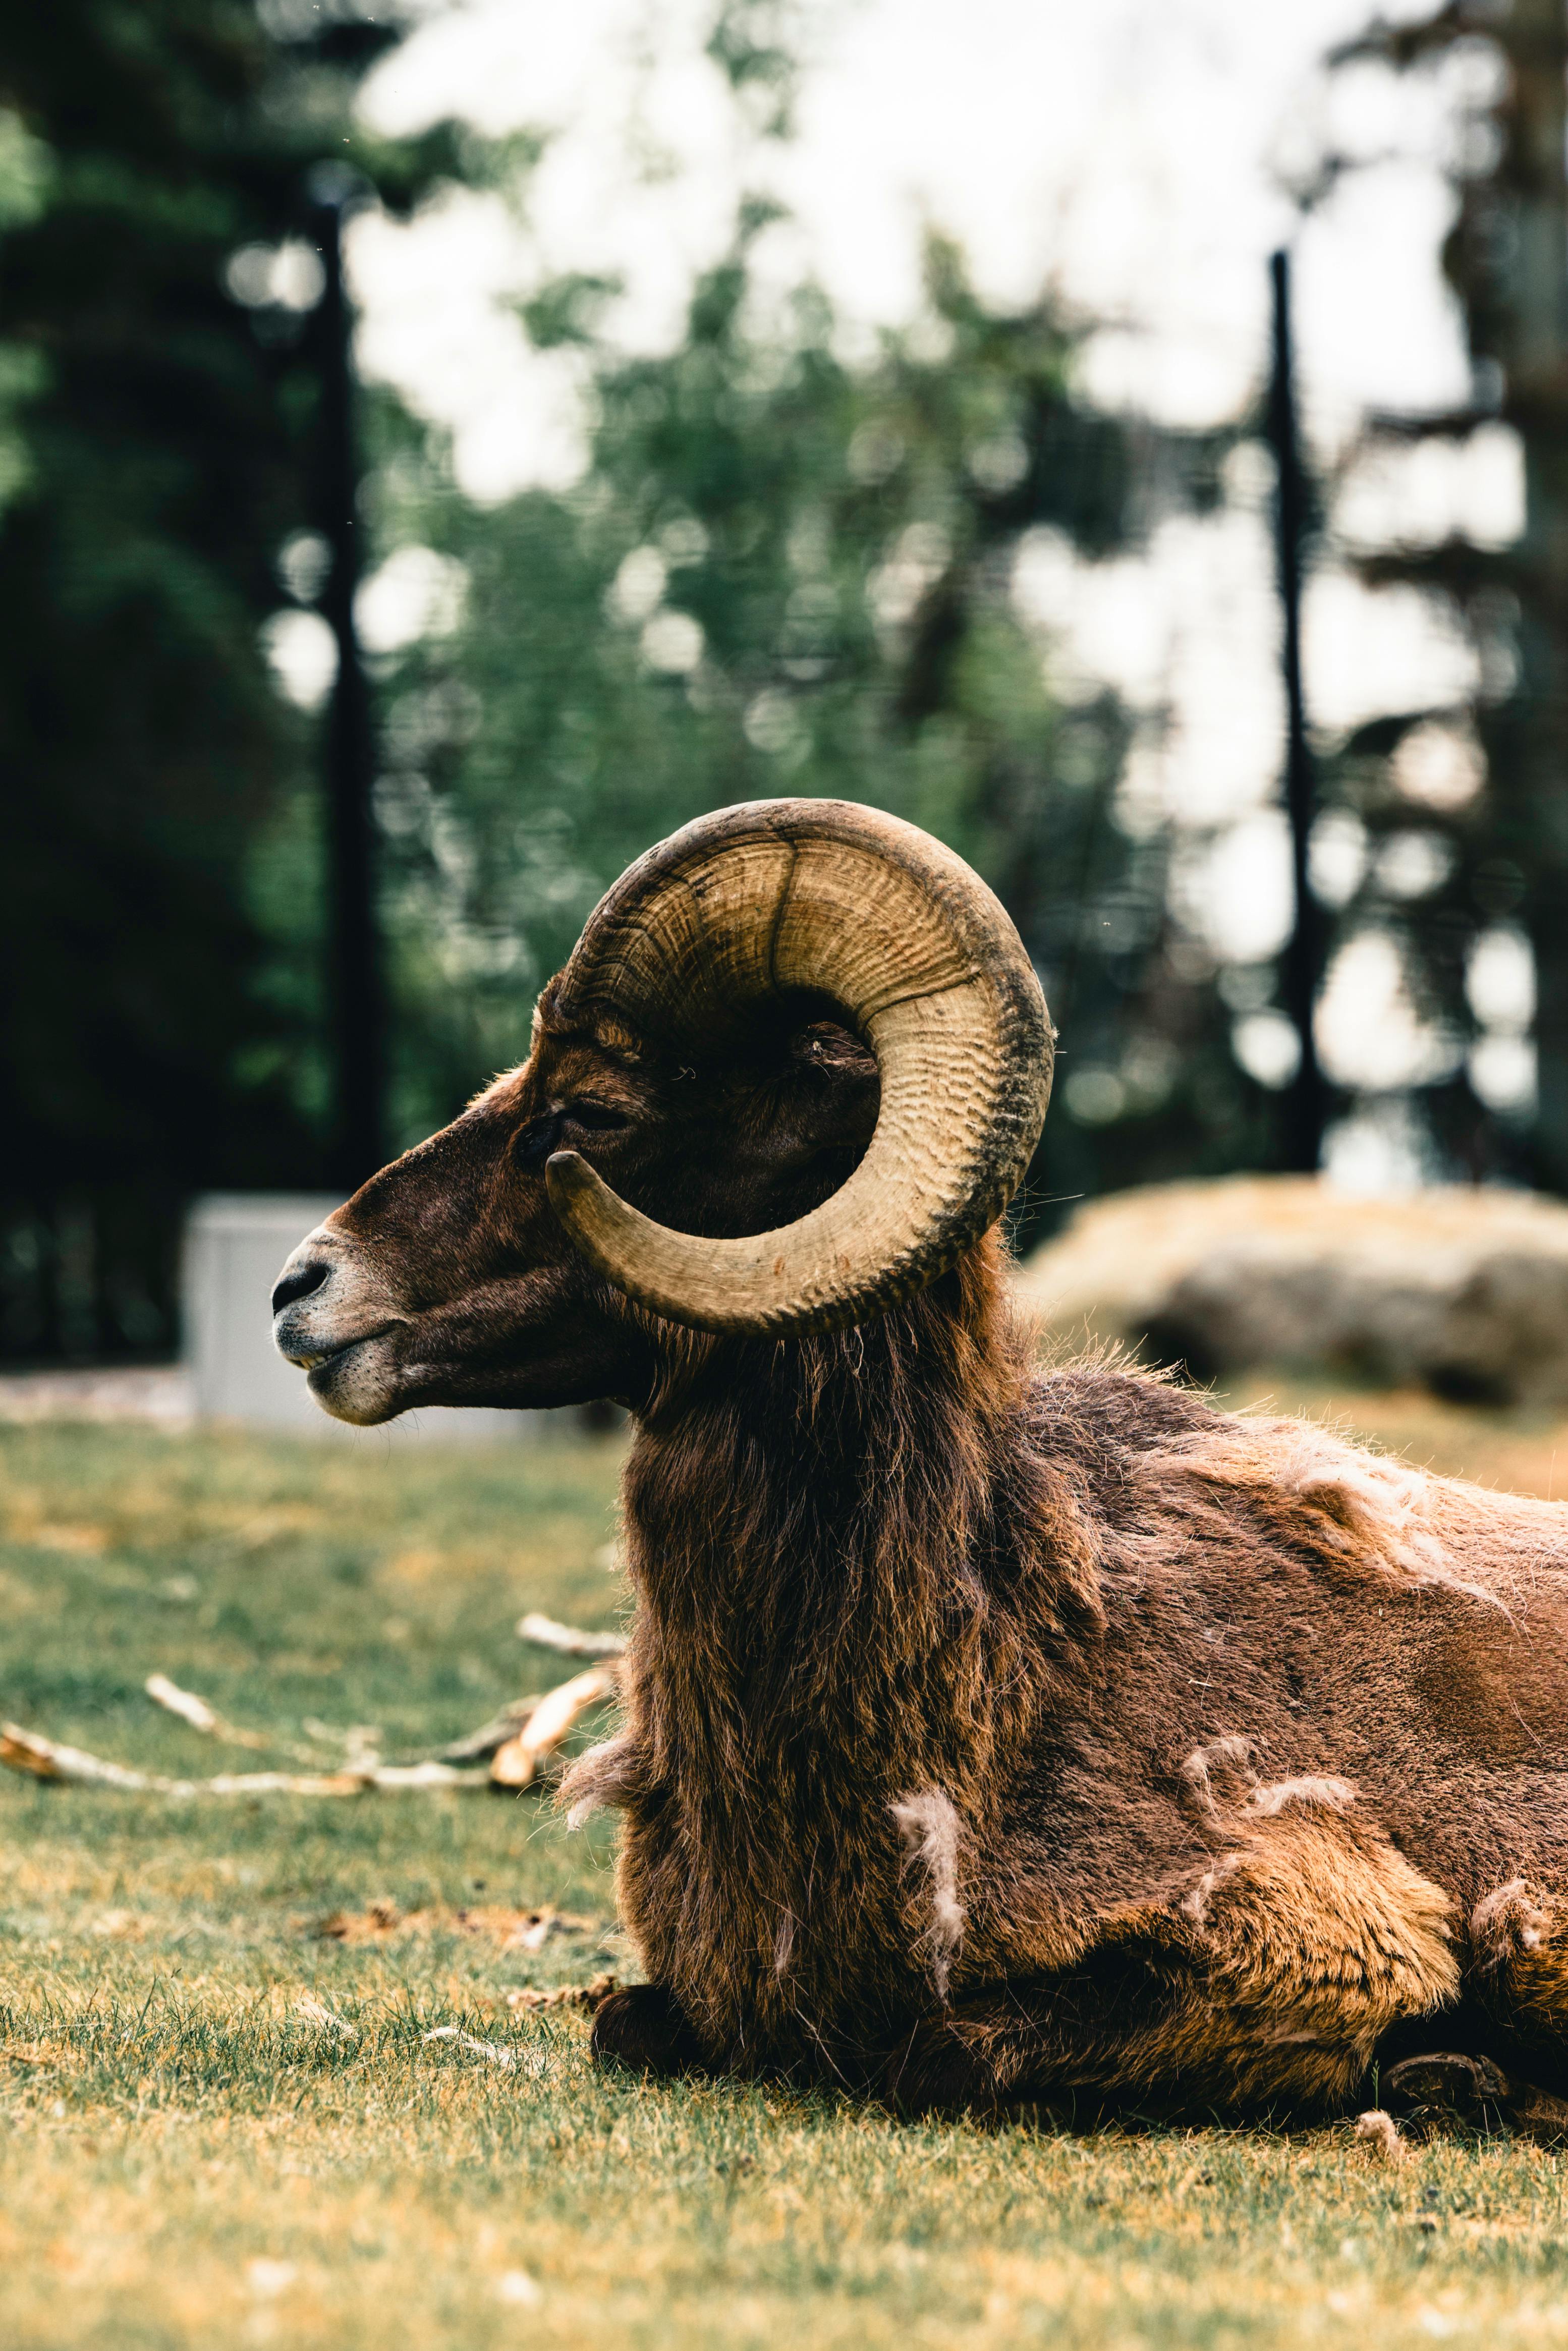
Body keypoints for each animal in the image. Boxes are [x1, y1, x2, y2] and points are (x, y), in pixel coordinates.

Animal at [272, 798, 1568, 2120]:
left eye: (588, 1112)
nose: (302, 1288)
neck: (1002, 1648)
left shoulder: (1313, 1944)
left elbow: (940, 2050)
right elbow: (625, 2024)